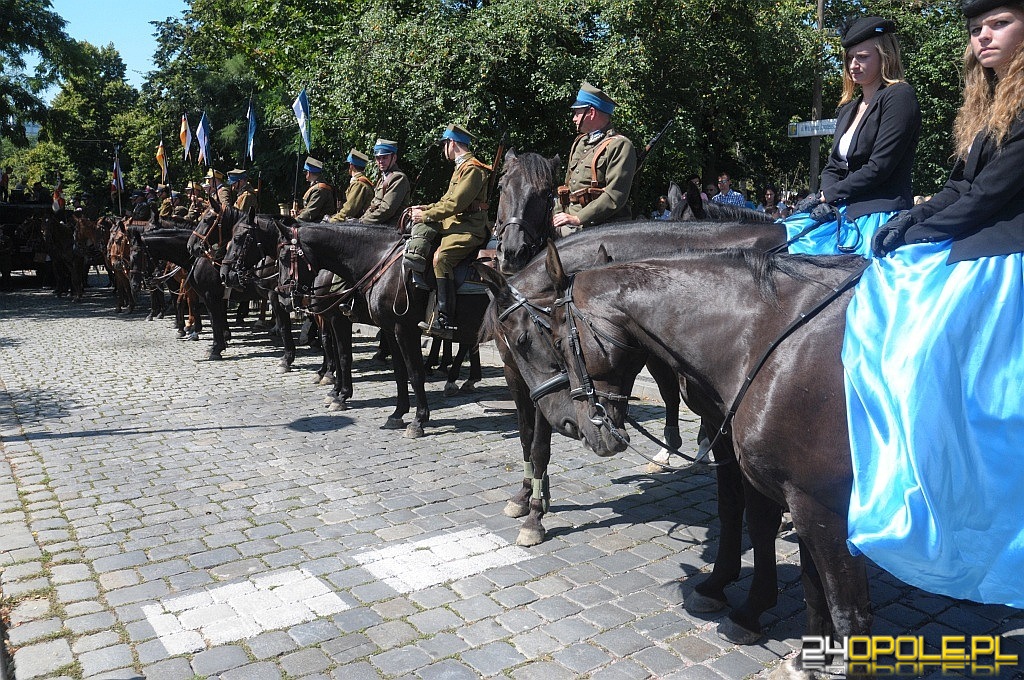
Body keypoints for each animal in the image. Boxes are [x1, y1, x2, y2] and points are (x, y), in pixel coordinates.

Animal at [536, 242, 872, 659]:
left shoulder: (820, 501)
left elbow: (842, 603)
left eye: (557, 341)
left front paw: (747, 607)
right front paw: (734, 595)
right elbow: (746, 516)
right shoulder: (744, 449)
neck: (769, 338)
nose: (581, 430)